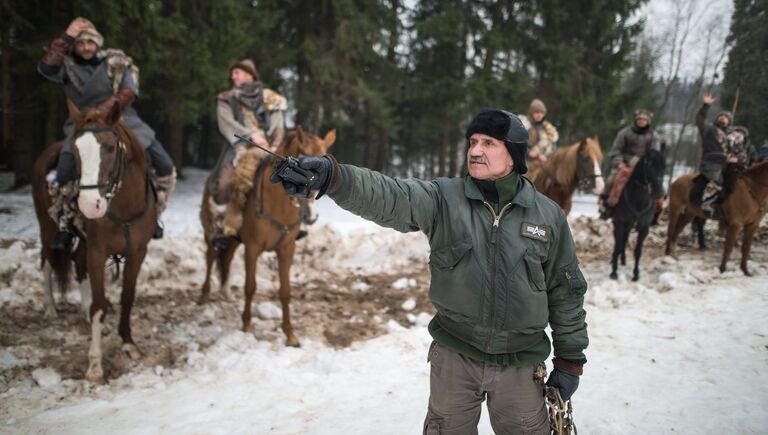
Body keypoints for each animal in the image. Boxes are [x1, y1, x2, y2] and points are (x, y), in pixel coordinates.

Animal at [31, 100, 157, 384]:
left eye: (110, 147)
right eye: (77, 151)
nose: (90, 205)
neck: (124, 208)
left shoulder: (138, 252)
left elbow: (127, 296)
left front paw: (129, 344)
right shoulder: (98, 252)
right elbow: (100, 307)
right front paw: (95, 366)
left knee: (78, 265)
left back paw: (81, 308)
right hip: (47, 229)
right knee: (47, 262)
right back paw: (50, 307)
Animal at [200, 127, 334, 348]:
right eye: (302, 154)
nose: (311, 216)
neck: (279, 205)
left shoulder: (287, 250)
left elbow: (285, 291)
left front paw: (290, 334)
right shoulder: (252, 248)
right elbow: (250, 286)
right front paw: (246, 326)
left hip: (234, 239)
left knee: (226, 259)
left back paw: (226, 292)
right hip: (211, 228)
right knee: (211, 256)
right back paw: (204, 295)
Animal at [608, 148, 664, 282]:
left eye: (664, 166)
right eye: (649, 164)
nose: (658, 192)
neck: (638, 201)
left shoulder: (644, 228)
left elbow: (638, 251)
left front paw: (636, 274)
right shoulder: (620, 224)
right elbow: (617, 246)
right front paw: (614, 272)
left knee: (624, 241)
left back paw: (623, 260)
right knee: (620, 243)